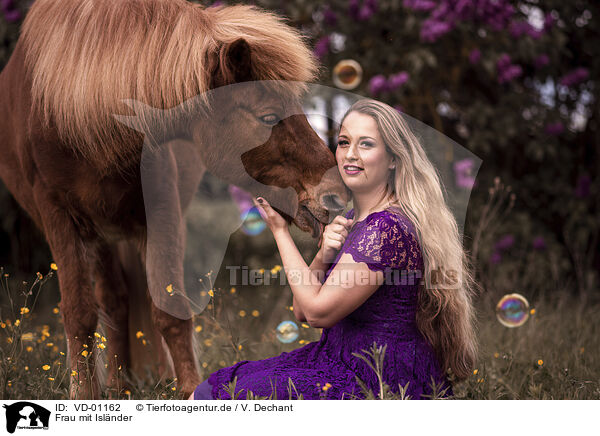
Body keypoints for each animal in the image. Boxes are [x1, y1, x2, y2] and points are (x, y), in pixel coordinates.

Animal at [0, 0, 346, 400]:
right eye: (269, 116)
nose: (336, 192)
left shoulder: (161, 208)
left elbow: (169, 310)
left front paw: (190, 389)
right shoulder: (58, 215)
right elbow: (79, 313)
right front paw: (84, 396)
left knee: (119, 301)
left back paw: (123, 385)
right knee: (111, 300)